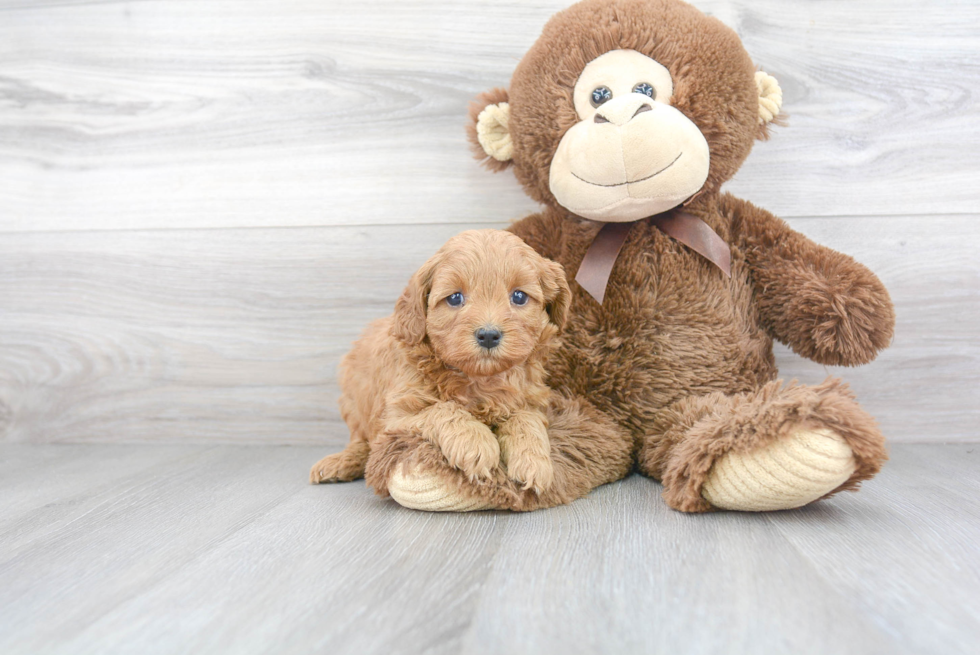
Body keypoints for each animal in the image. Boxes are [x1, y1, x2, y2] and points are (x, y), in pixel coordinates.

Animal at [314, 228, 572, 494]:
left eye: (519, 296)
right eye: (455, 298)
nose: (489, 335)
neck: (480, 379)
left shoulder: (532, 400)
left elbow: (526, 419)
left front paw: (534, 462)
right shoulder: (396, 417)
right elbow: (441, 409)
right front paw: (475, 442)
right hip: (353, 402)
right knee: (361, 442)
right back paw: (339, 463)